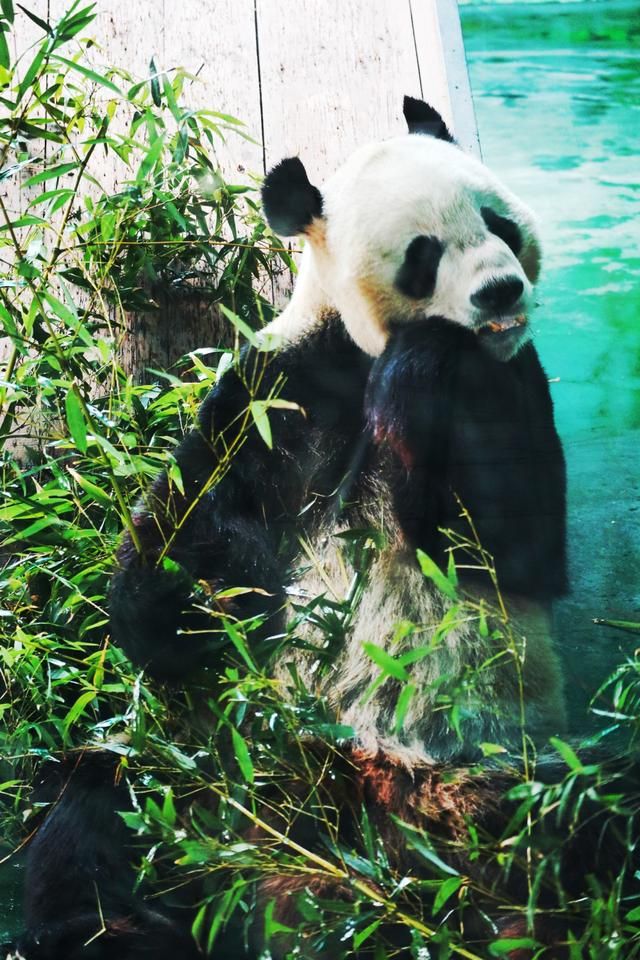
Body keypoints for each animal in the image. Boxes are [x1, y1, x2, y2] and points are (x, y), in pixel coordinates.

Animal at [13, 95, 616, 960]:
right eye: (424, 255)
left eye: (498, 222)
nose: (500, 292)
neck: (366, 354)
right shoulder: (276, 394)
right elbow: (156, 597)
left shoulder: (508, 383)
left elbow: (510, 548)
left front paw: (422, 374)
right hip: (200, 772)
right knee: (104, 803)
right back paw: (110, 932)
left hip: (518, 783)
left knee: (589, 827)